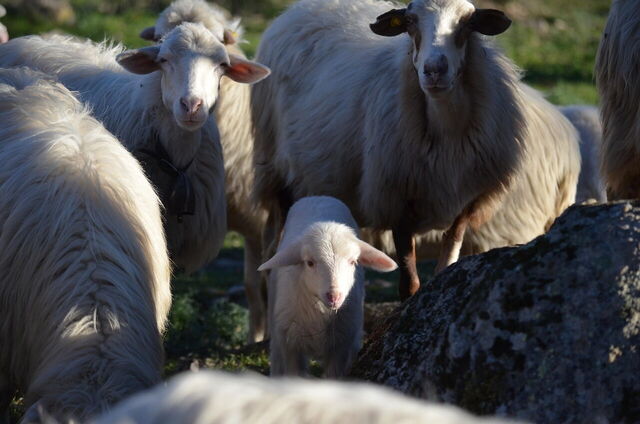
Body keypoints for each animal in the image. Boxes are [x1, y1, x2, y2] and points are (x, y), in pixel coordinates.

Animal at [142, 0, 271, 342]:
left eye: (221, 56)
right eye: (158, 41)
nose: (190, 104)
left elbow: (264, 284)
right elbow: (253, 288)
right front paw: (255, 338)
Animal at [251, 0, 581, 300]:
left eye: (468, 23)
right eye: (410, 22)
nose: (434, 70)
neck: (448, 131)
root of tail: (300, 8)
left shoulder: (467, 202)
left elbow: (447, 262)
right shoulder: (397, 201)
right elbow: (409, 284)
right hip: (281, 180)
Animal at [258, 196, 397, 378]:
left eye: (353, 262)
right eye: (310, 263)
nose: (334, 296)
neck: (321, 313)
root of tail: (320, 197)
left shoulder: (341, 346)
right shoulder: (290, 345)